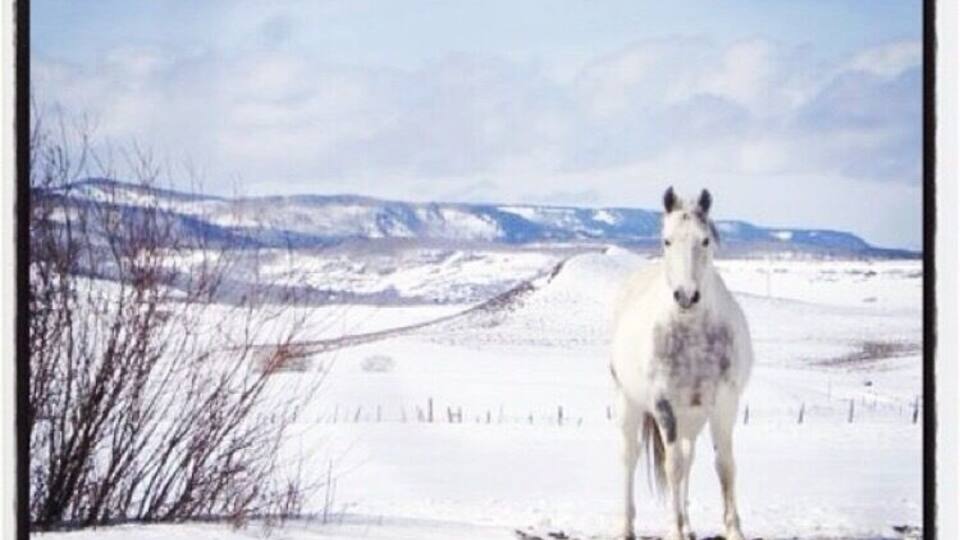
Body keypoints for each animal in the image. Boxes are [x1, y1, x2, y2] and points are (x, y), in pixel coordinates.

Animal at [609, 187, 753, 540]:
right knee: (630, 457)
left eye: (705, 240)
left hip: (693, 417)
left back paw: (688, 525)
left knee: (690, 458)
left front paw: (733, 529)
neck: (692, 336)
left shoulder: (724, 403)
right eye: (667, 240)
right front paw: (673, 529)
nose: (686, 296)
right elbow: (671, 466)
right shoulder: (664, 405)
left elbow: (725, 465)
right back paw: (627, 526)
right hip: (628, 402)